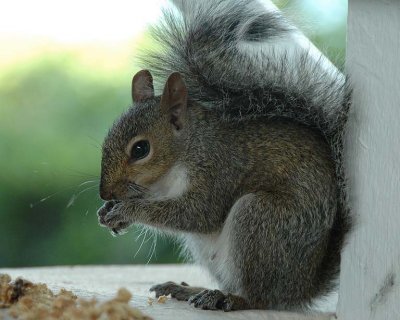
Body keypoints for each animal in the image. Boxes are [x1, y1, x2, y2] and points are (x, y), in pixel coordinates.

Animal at [96, 0, 350, 312]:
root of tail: (300, 290)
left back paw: (230, 298)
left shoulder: (219, 170)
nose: (105, 193)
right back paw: (191, 289)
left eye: (140, 149)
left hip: (261, 219)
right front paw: (109, 212)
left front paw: (127, 211)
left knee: (259, 297)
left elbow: (197, 213)